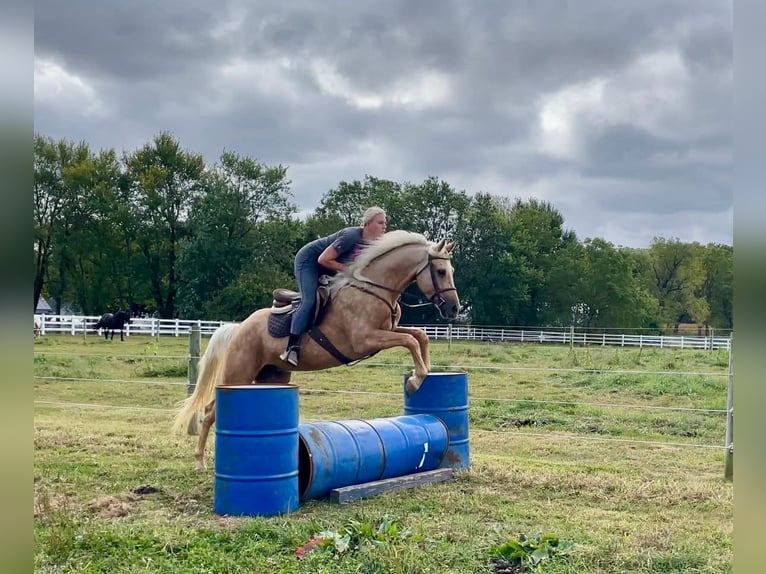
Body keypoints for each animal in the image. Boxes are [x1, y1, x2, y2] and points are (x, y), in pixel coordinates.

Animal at [174, 231, 462, 472]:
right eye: (440, 271)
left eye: (451, 270)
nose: (453, 309)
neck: (374, 287)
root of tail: (238, 328)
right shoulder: (366, 340)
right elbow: (410, 341)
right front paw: (415, 380)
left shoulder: (387, 330)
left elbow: (419, 336)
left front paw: (424, 372)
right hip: (239, 374)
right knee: (210, 411)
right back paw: (199, 461)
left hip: (271, 376)